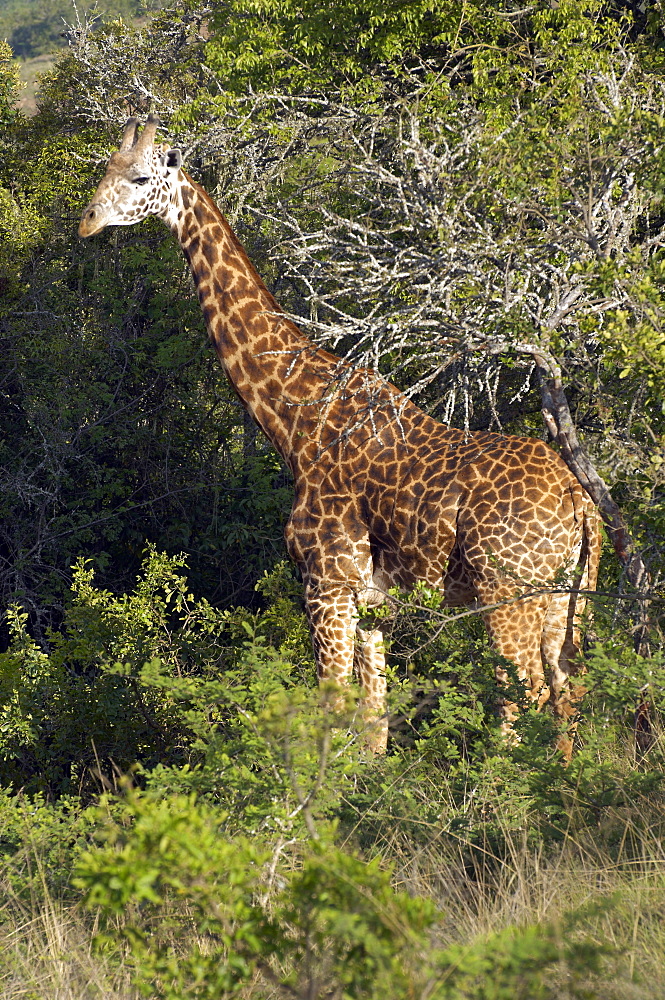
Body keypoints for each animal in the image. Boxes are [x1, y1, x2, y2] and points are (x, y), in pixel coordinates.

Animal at [79, 115, 600, 756]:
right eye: (104, 168)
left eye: (139, 177)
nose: (87, 220)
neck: (296, 421)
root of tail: (580, 500)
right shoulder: (371, 602)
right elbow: (373, 721)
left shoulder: (325, 585)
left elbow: (331, 707)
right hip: (565, 597)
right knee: (566, 691)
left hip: (507, 591)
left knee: (522, 694)